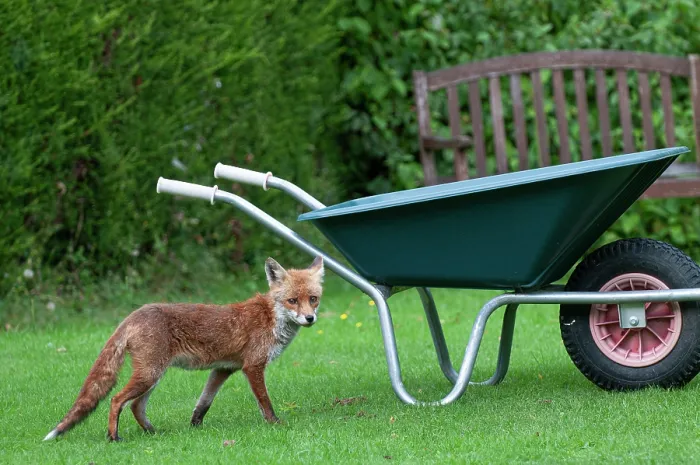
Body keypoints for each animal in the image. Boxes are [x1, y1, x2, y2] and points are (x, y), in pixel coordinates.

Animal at [43, 255, 324, 442]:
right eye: (292, 300)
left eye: (313, 299)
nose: (310, 319)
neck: (271, 317)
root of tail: (134, 314)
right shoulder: (252, 366)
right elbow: (264, 401)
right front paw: (275, 423)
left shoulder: (223, 369)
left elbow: (204, 402)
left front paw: (195, 426)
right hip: (150, 374)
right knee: (116, 399)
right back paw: (113, 437)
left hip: (153, 375)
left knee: (136, 406)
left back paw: (152, 433)